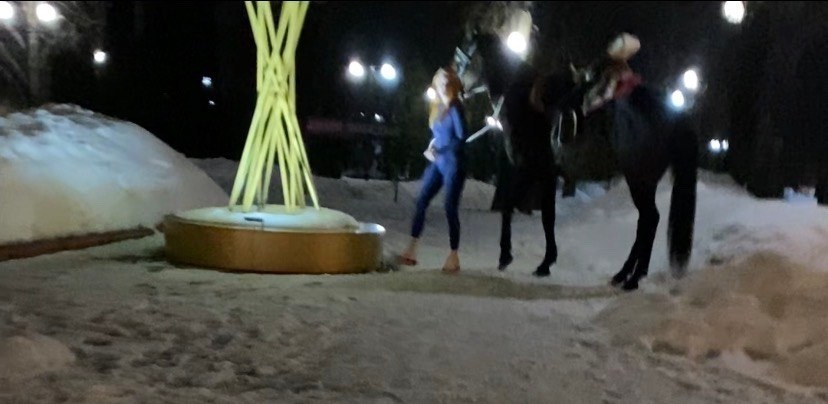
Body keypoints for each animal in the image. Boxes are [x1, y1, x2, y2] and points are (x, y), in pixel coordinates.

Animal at [457, 32, 698, 290]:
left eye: (463, 56)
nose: (459, 89)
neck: (523, 100)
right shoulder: (547, 175)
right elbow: (546, 215)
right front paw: (545, 262)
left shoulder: (530, 169)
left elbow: (515, 208)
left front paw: (509, 257)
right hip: (644, 182)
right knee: (645, 223)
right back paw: (623, 274)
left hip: (639, 181)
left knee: (650, 221)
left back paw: (634, 278)